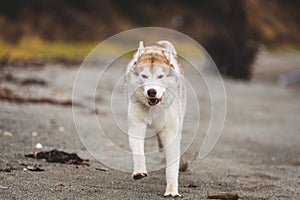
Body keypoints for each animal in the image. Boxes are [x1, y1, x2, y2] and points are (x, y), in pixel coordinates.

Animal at [124, 40, 185, 197]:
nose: (152, 91)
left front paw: (172, 190)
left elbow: (172, 166)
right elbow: (138, 150)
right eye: (144, 76)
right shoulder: (137, 125)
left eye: (160, 76)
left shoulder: (171, 131)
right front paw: (139, 171)